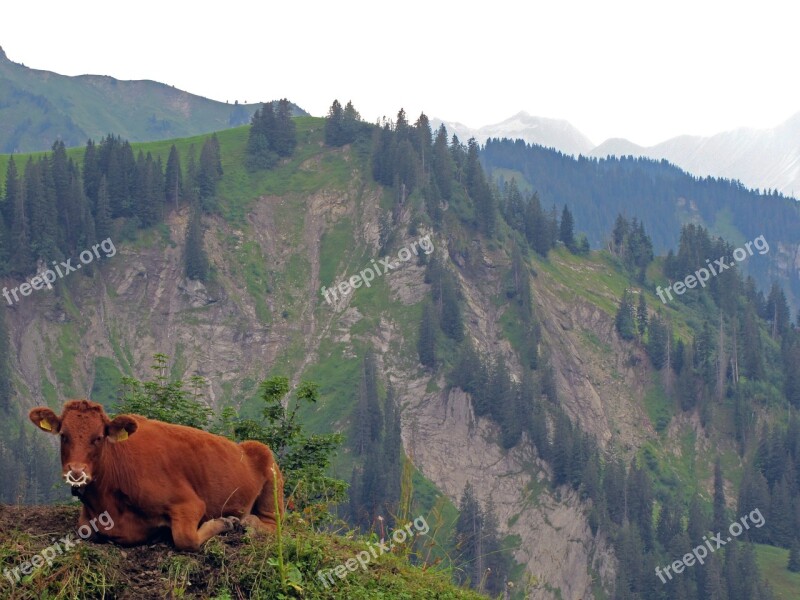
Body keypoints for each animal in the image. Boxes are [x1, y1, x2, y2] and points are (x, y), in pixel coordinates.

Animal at [28, 400, 284, 552]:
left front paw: (224, 522)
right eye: (64, 436)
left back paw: (248, 522)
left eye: (98, 437)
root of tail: (244, 445)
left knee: (274, 524)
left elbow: (186, 539)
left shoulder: (189, 503)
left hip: (270, 475)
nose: (76, 472)